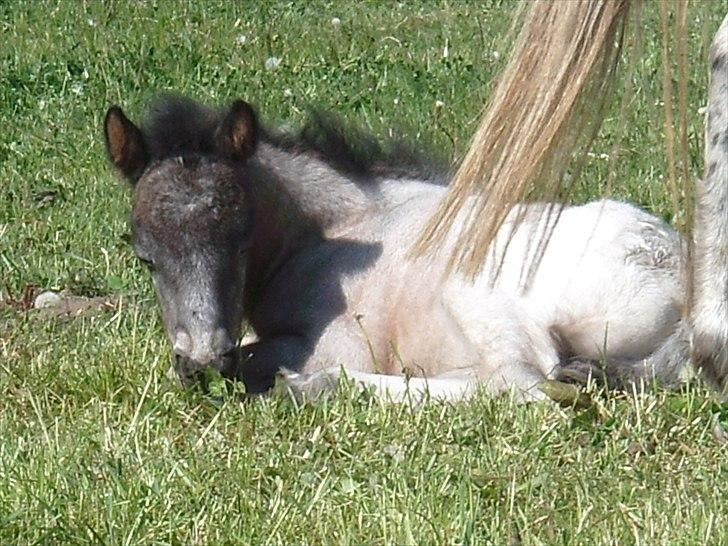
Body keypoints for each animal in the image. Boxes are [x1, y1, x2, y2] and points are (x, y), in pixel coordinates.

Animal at [103, 15, 727, 402]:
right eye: (146, 259)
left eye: (239, 245)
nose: (203, 364)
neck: (331, 232)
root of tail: (688, 280)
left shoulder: (336, 341)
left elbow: (262, 358)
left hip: (476, 291)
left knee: (522, 386)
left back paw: (315, 389)